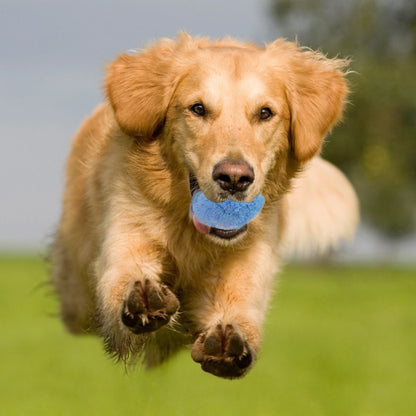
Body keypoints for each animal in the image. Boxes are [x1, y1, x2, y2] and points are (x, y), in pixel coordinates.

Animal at [50, 33, 360, 376]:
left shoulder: (247, 266)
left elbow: (240, 310)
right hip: (76, 290)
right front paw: (143, 299)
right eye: (198, 109)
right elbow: (122, 278)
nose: (235, 178)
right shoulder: (123, 237)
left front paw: (231, 342)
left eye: (265, 113)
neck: (192, 236)